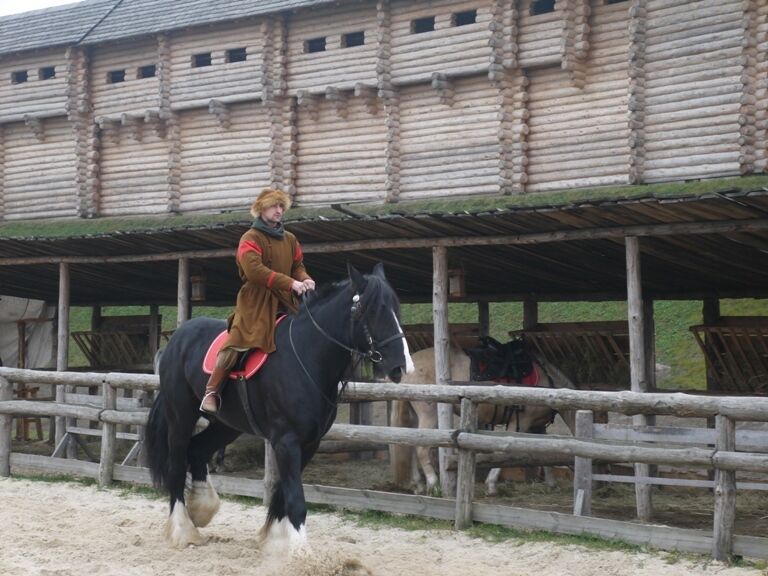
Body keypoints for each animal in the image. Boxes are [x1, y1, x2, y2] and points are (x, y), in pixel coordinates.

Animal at [148, 266, 416, 548]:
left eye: (396, 309)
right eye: (371, 310)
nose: (402, 367)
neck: (307, 358)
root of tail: (176, 339)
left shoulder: (309, 443)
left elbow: (282, 494)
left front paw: (275, 539)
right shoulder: (287, 441)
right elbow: (295, 500)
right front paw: (298, 551)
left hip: (226, 424)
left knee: (198, 450)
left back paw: (201, 509)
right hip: (180, 416)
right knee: (177, 465)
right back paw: (182, 529)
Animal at [390, 344, 576, 498]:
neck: (547, 386)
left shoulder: (537, 426)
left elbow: (545, 452)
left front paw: (552, 484)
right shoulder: (521, 422)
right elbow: (503, 452)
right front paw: (491, 485)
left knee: (410, 443)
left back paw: (418, 485)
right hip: (429, 416)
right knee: (421, 449)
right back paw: (433, 483)